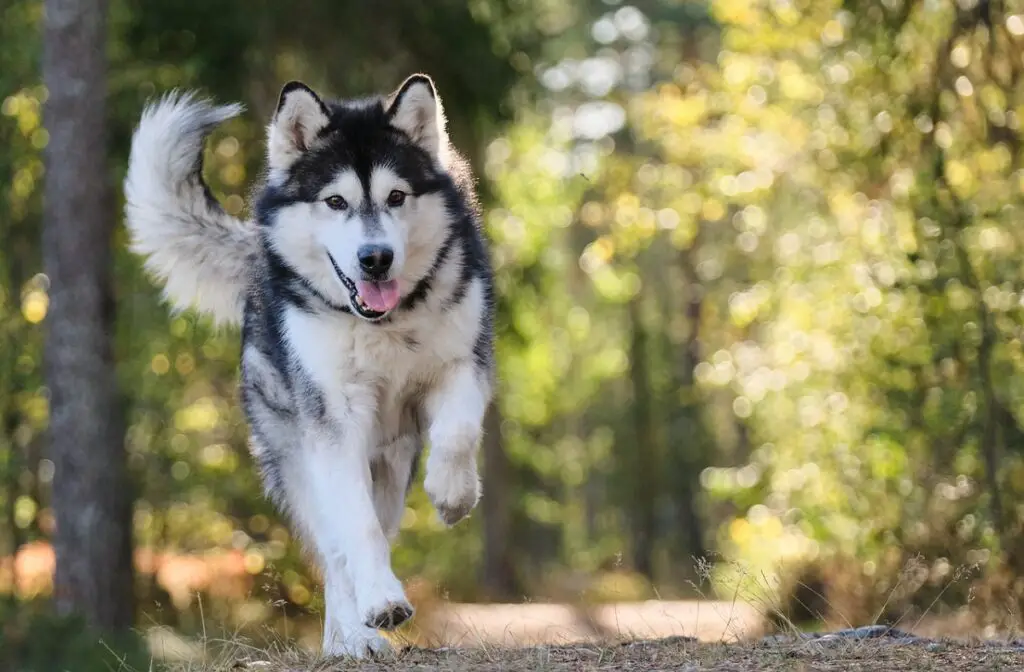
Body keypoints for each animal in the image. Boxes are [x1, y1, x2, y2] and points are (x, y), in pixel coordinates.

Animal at [123, 74, 495, 655]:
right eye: (335, 201)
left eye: (396, 197)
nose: (375, 258)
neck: (383, 325)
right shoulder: (335, 422)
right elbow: (357, 530)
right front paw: (380, 605)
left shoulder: (463, 363)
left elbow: (457, 433)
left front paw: (454, 496)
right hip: (303, 457)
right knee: (338, 551)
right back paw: (354, 638)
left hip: (390, 465)